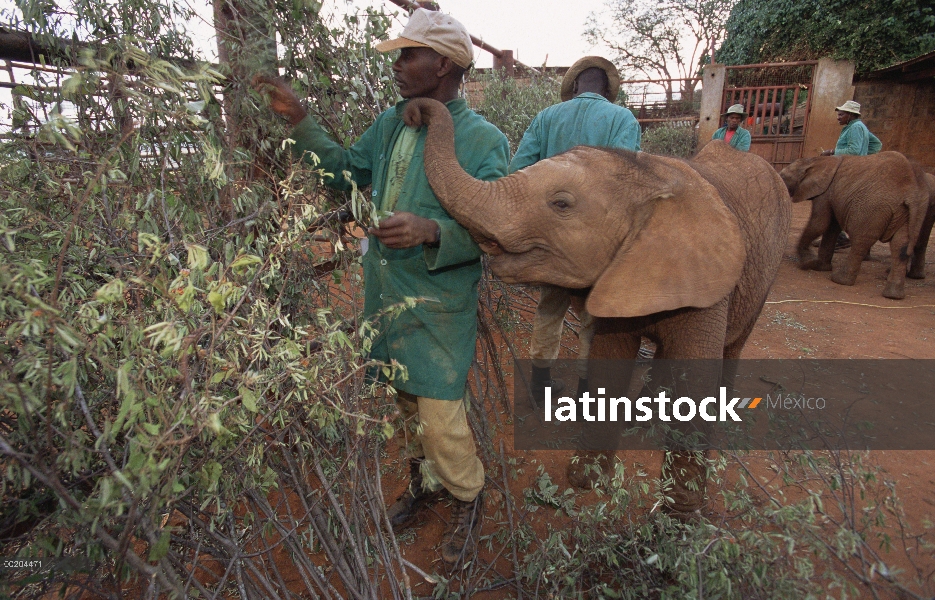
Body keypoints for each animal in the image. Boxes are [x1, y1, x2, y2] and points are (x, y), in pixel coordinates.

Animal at [780, 152, 932, 298]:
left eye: (782, 176)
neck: (816, 160)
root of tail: (910, 193)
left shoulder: (826, 192)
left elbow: (820, 223)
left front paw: (807, 263)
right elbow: (831, 228)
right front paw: (820, 267)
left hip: (872, 208)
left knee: (861, 242)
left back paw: (840, 280)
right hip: (913, 212)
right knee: (901, 246)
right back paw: (893, 295)